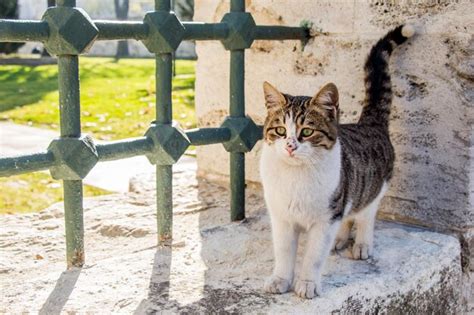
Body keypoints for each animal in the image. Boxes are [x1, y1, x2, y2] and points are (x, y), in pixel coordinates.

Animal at [260, 24, 414, 298]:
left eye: (307, 131)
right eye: (279, 130)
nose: (290, 146)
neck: (295, 176)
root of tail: (369, 123)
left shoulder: (327, 217)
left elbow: (313, 256)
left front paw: (307, 283)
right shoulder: (281, 217)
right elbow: (284, 252)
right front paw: (280, 279)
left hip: (374, 186)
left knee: (365, 214)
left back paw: (362, 243)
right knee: (349, 214)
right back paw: (341, 239)